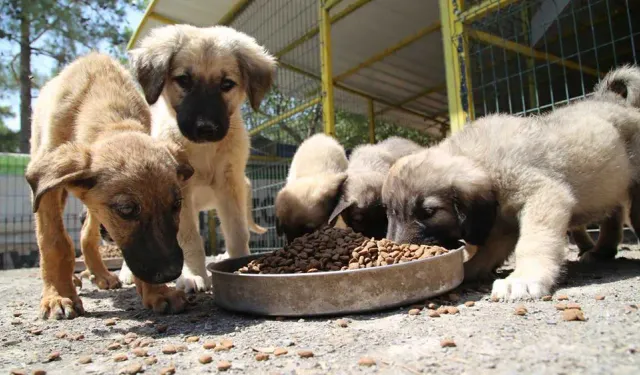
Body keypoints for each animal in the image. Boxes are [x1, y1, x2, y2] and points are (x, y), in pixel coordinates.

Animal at [25, 51, 194, 318]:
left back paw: (102, 275)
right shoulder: (47, 189)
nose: (171, 273)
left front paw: (158, 293)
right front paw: (58, 296)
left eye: (177, 204)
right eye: (126, 210)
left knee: (87, 234)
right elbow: (54, 242)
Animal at [125, 24, 276, 294]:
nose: (205, 128)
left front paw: (240, 264)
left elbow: (237, 232)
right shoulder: (180, 193)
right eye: (184, 80)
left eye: (226, 84)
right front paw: (194, 275)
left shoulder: (230, 185)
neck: (204, 151)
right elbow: (190, 238)